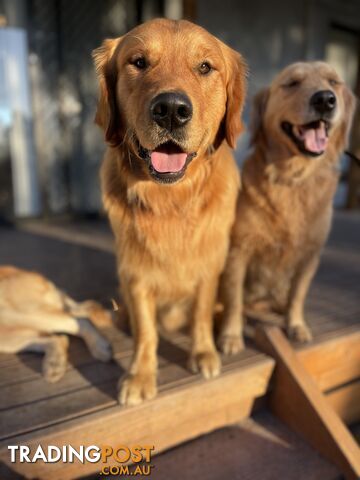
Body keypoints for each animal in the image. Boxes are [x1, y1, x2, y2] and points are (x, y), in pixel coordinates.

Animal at [92, 18, 248, 404]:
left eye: (205, 67)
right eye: (138, 62)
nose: (172, 110)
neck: (172, 202)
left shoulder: (208, 266)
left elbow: (201, 314)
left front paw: (204, 352)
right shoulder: (135, 273)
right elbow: (146, 330)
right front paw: (140, 375)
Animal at [218, 61, 356, 352]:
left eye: (333, 81)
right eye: (292, 83)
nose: (325, 100)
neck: (293, 177)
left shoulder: (310, 255)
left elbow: (297, 296)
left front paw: (296, 325)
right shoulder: (238, 251)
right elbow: (234, 301)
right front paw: (231, 335)